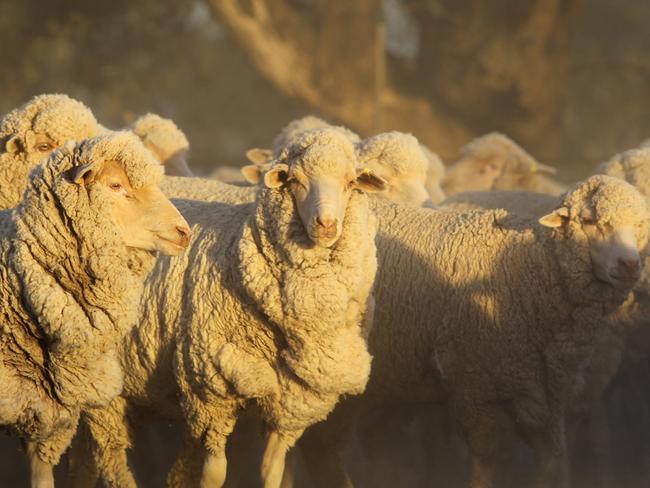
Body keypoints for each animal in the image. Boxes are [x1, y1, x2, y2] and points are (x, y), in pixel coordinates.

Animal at [72, 127, 384, 488]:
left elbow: (272, 470)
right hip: (104, 387)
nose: (326, 225)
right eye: (295, 180)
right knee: (109, 456)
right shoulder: (211, 393)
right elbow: (215, 472)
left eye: (350, 182)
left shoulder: (293, 402)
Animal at [294, 175, 648, 488]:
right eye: (589, 221)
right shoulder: (472, 380)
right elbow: (487, 458)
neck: (528, 266)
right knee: (322, 449)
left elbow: (553, 459)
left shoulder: (544, 392)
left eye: (640, 226)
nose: (630, 265)